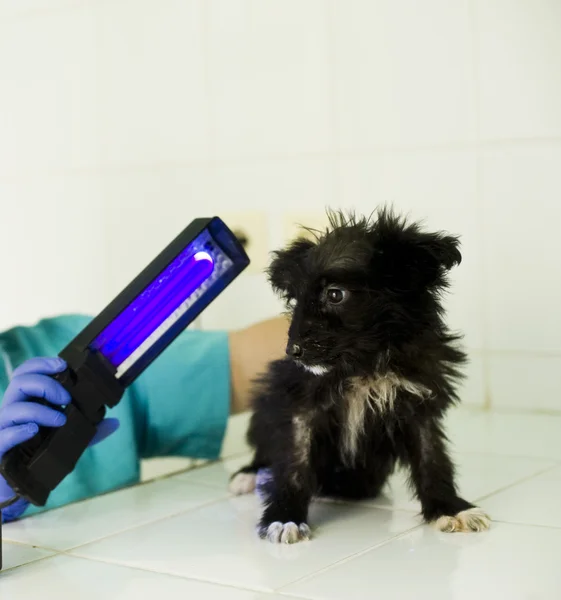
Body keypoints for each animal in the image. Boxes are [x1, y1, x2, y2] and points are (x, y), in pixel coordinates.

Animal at [230, 210, 488, 544]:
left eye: (335, 294)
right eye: (295, 298)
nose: (292, 351)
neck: (365, 365)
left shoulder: (418, 401)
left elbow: (432, 457)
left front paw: (450, 509)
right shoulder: (301, 404)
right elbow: (294, 462)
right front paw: (284, 518)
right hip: (267, 399)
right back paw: (249, 474)